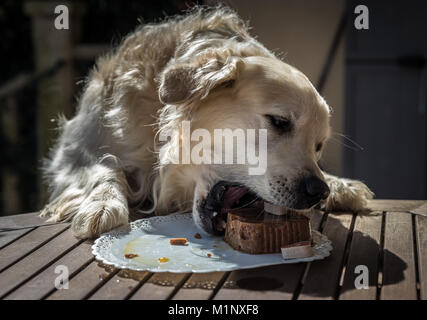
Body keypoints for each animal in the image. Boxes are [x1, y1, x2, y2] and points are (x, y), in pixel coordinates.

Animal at [41, 6, 372, 239]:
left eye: (318, 146)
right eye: (279, 121)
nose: (318, 192)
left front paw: (338, 183)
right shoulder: (73, 155)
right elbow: (105, 167)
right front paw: (103, 204)